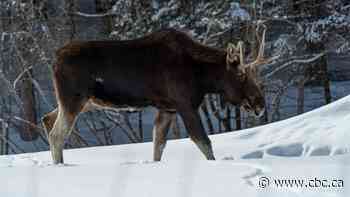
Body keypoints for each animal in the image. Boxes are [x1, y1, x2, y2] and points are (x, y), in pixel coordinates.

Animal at [41, 26, 270, 165]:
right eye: (240, 74)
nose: (260, 103)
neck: (202, 77)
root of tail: (54, 60)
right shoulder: (185, 104)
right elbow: (203, 142)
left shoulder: (167, 108)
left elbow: (158, 145)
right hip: (74, 98)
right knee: (57, 134)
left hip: (85, 101)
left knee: (47, 119)